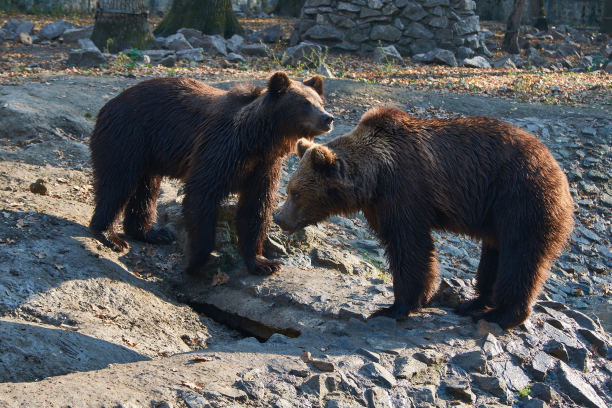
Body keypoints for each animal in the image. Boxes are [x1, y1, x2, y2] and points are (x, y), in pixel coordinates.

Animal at [88, 73, 332, 278]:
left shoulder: (264, 166)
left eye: (320, 102)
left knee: (146, 188)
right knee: (118, 182)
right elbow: (202, 194)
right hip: (129, 135)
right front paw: (197, 262)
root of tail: (111, 102)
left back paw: (151, 233)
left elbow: (256, 205)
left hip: (150, 153)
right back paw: (110, 236)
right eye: (304, 103)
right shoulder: (220, 149)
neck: (258, 140)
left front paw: (264, 263)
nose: (328, 118)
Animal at [274, 107, 576, 330]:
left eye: (296, 193)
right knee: (494, 254)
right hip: (497, 215)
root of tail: (559, 171)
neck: (374, 178)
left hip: (520, 198)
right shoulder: (380, 205)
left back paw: (500, 314)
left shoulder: (406, 192)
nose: (279, 218)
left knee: (520, 255)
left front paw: (394, 307)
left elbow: (410, 247)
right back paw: (473, 303)